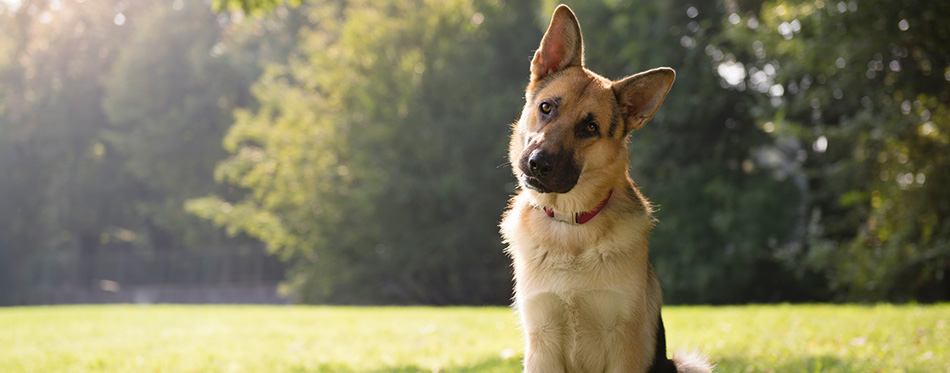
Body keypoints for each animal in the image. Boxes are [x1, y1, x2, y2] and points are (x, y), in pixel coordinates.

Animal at [498, 4, 712, 370]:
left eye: (590, 128)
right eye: (546, 107)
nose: (537, 163)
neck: (570, 225)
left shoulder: (623, 343)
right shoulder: (542, 344)